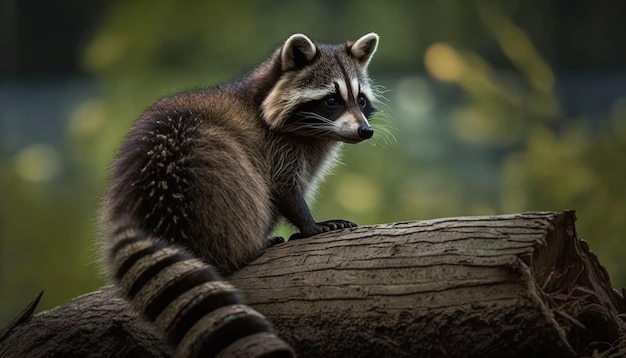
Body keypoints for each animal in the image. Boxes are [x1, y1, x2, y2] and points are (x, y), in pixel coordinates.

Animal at [100, 32, 378, 356]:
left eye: (360, 99)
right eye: (331, 100)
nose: (365, 131)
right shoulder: (276, 146)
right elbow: (282, 188)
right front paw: (309, 225)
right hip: (214, 168)